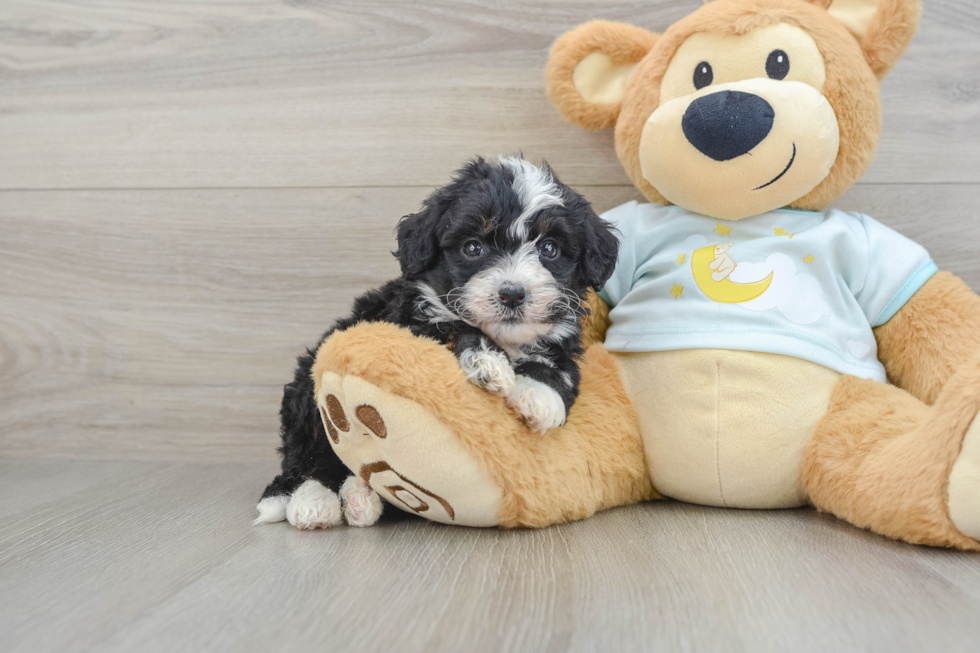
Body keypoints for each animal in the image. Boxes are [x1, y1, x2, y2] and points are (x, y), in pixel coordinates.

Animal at [255, 155, 620, 528]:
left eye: (549, 248)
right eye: (472, 247)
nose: (512, 293)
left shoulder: (564, 335)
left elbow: (560, 365)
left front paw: (538, 395)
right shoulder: (408, 321)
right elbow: (454, 326)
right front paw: (490, 365)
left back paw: (360, 496)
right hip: (307, 400)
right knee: (311, 458)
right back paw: (314, 501)